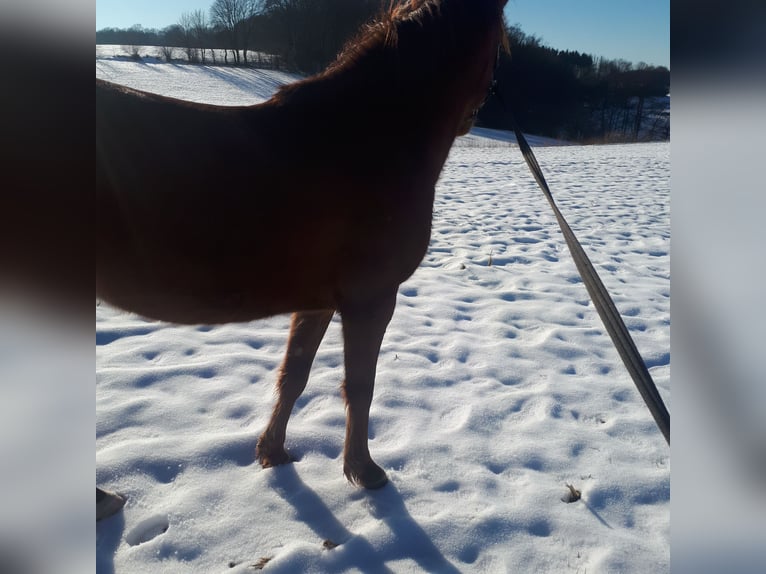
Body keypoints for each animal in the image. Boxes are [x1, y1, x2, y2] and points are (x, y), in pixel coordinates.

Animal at [99, 0, 512, 492]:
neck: (372, 137)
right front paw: (363, 470)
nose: (473, 117)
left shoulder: (317, 302)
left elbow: (295, 373)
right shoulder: (372, 299)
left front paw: (272, 451)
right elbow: (360, 385)